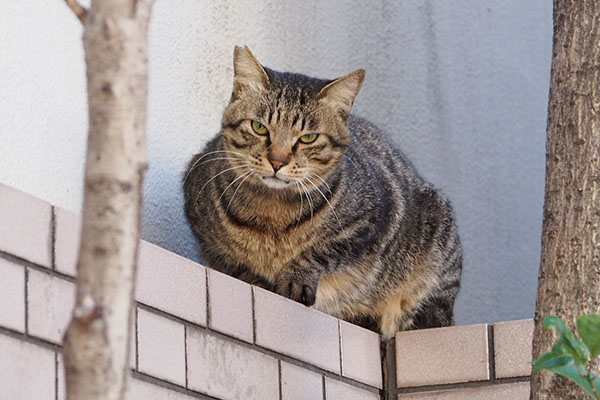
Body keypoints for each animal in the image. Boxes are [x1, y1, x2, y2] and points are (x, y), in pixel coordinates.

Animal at [183, 47, 464, 340]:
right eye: (259, 127)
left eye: (308, 137)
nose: (277, 161)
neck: (272, 213)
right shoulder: (201, 220)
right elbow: (235, 264)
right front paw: (257, 279)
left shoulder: (370, 220)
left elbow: (322, 250)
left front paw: (296, 278)